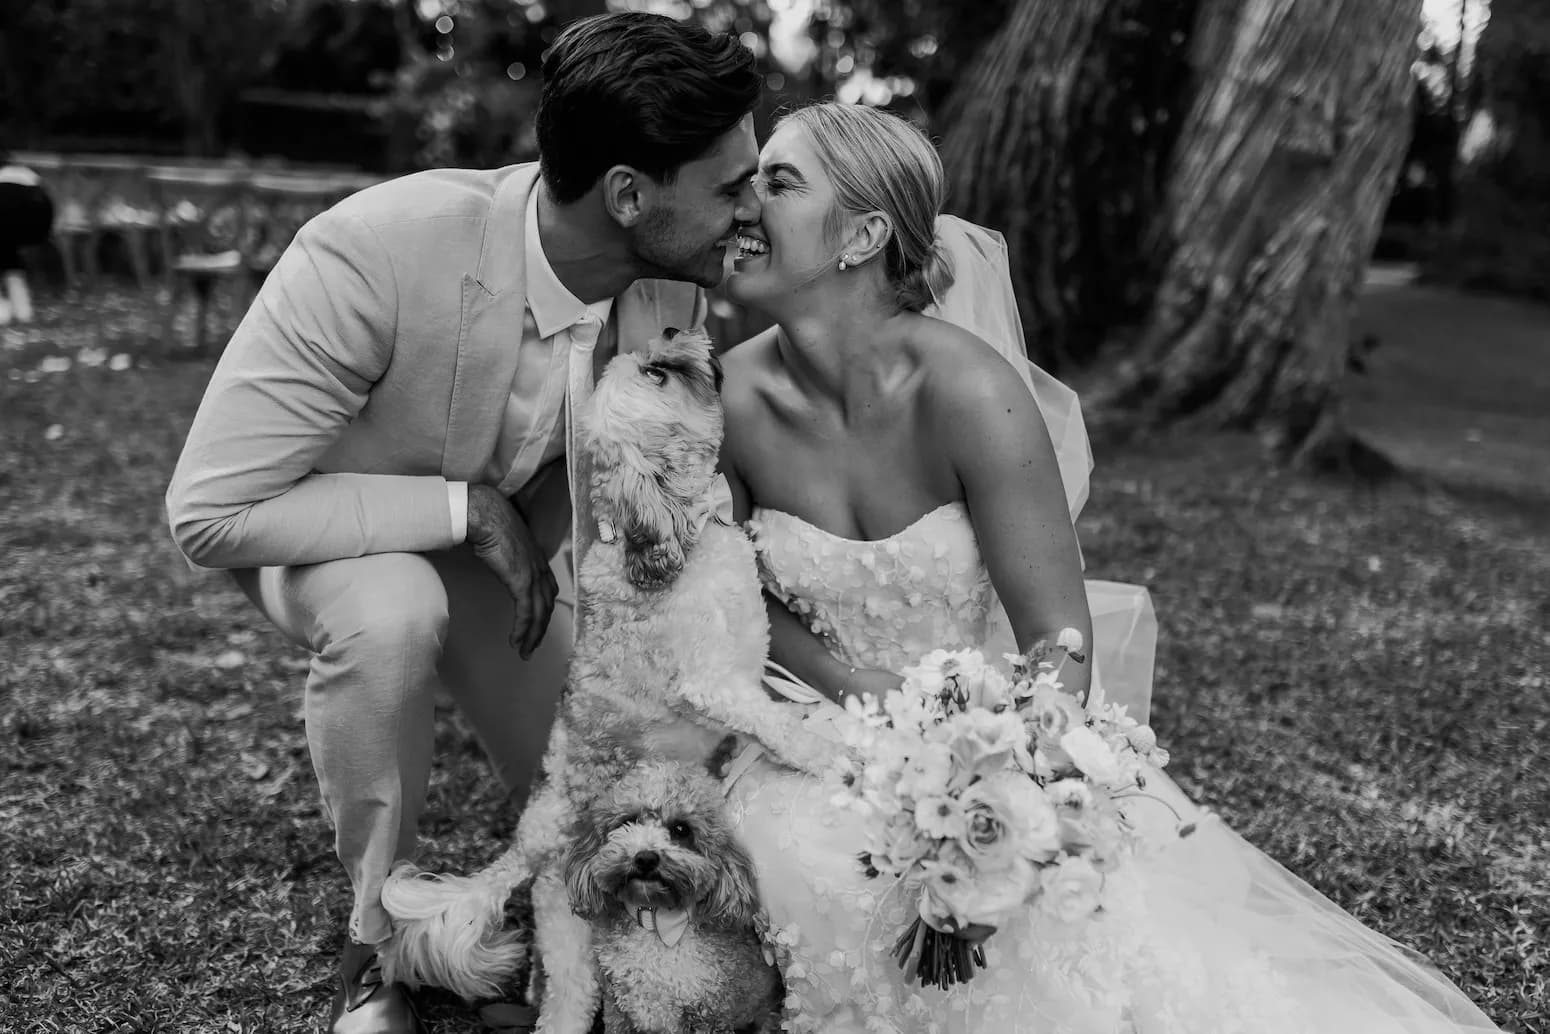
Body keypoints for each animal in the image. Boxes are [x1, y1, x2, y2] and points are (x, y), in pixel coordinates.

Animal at [564, 759, 781, 1034]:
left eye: (681, 829)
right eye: (628, 821)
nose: (645, 857)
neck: (655, 921)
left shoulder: (708, 1015)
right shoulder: (617, 1008)